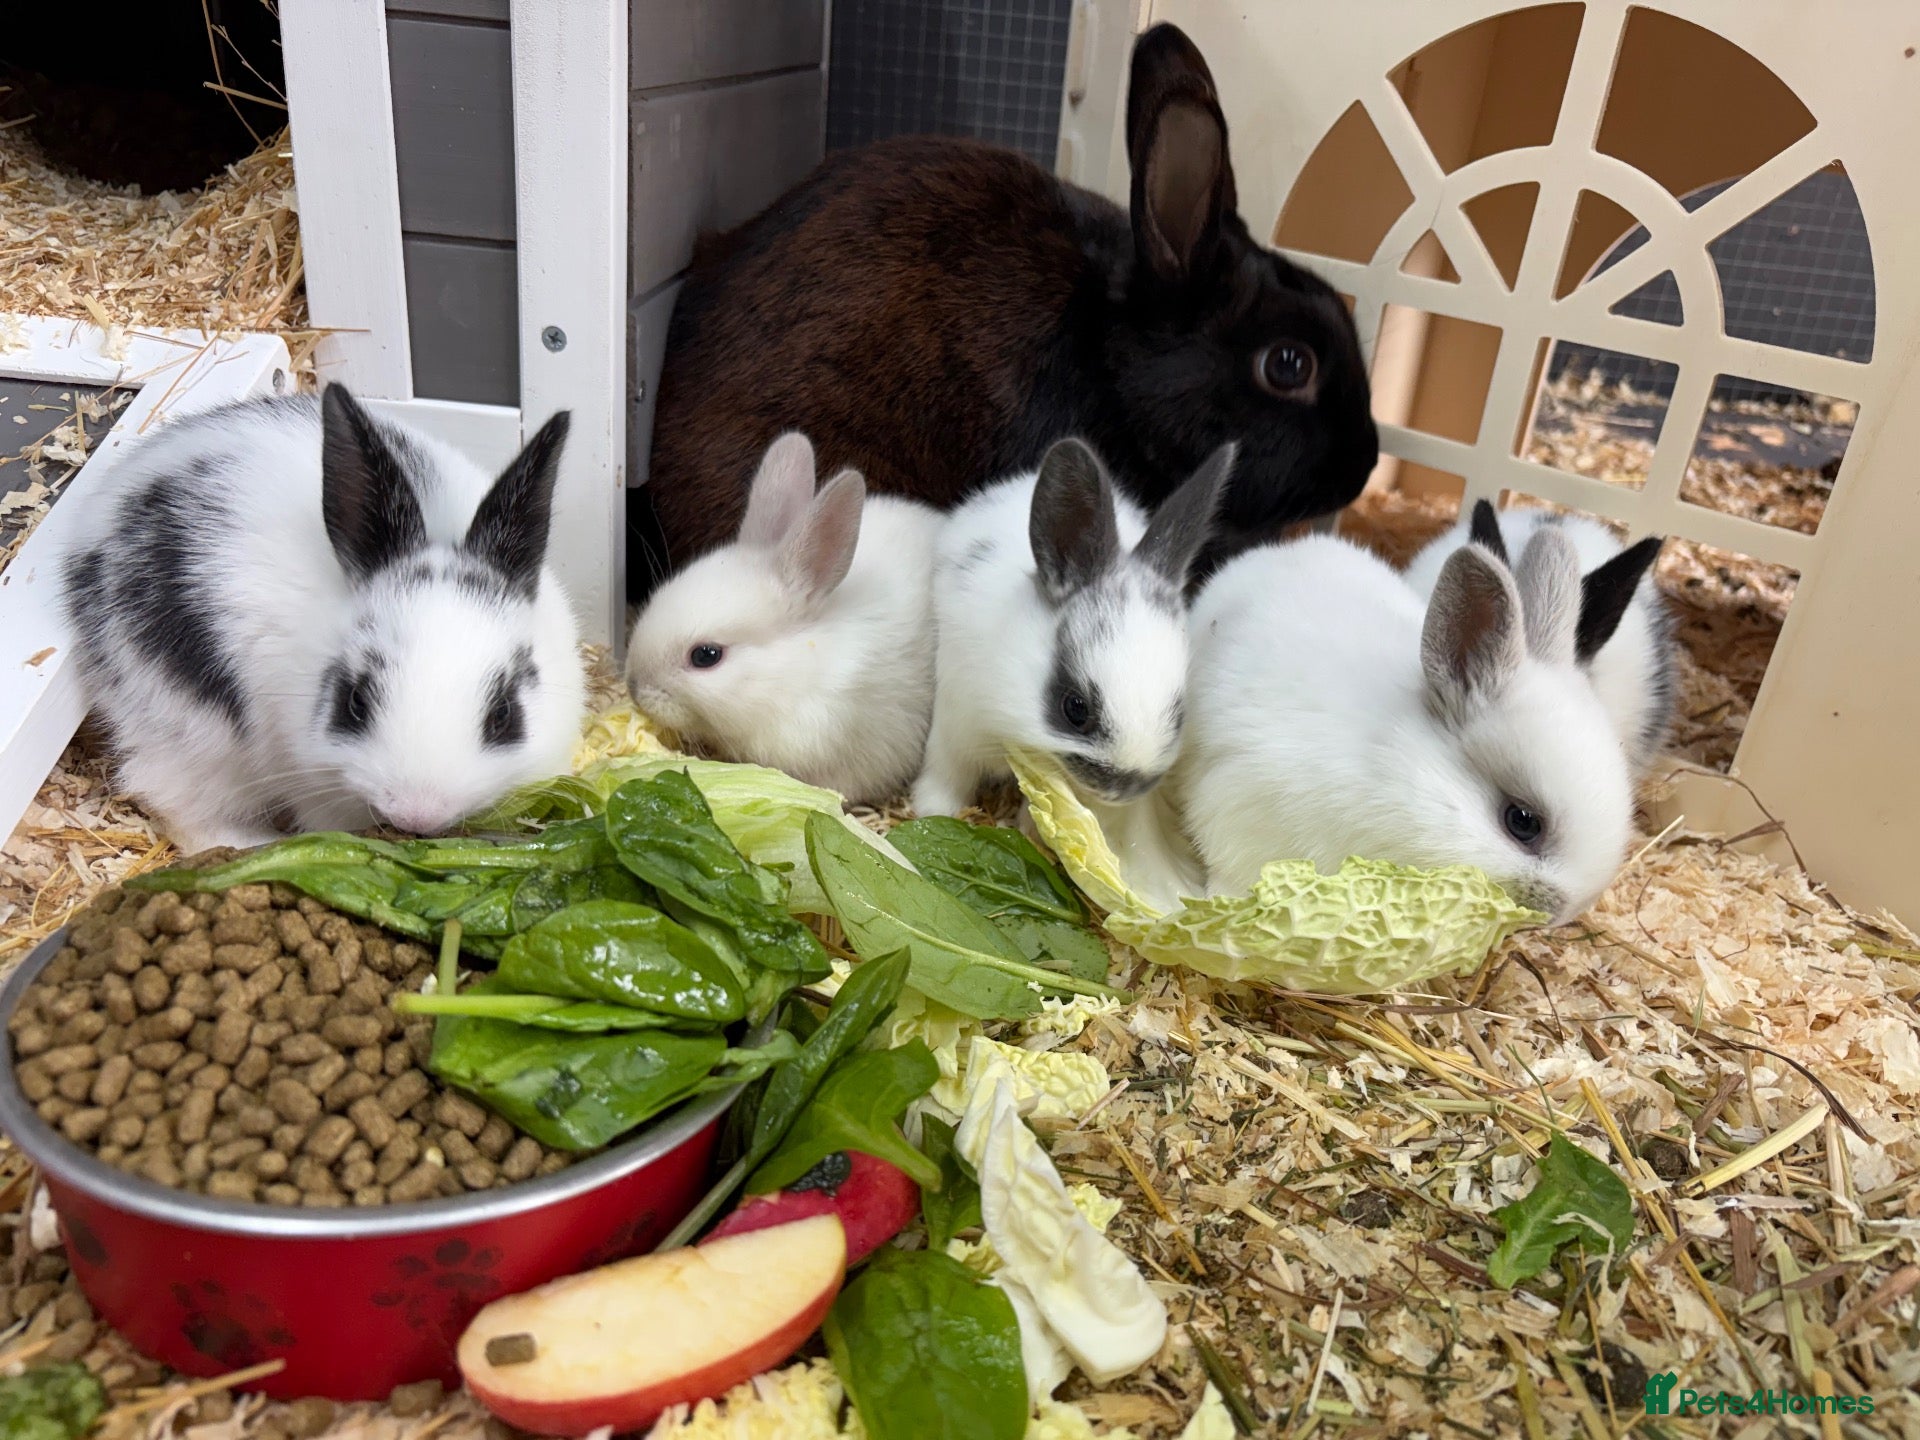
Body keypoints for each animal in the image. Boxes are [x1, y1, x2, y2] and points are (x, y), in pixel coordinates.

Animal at [61, 385, 586, 855]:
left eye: (503, 715)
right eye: (355, 703)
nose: (417, 812)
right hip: (187, 739)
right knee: (173, 800)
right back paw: (249, 844)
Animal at [911, 435, 1236, 819]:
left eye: (1178, 714)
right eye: (1075, 708)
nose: (1122, 789)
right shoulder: (956, 726)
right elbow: (947, 774)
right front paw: (931, 811)